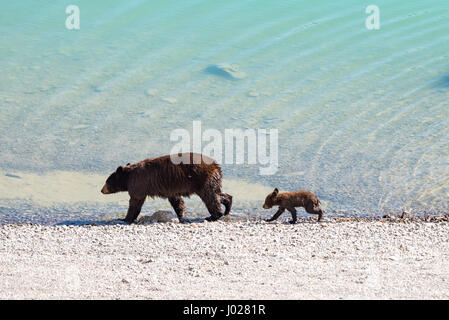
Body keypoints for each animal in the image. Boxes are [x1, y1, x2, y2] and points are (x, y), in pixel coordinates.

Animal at [100, 152, 233, 222]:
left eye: (107, 181)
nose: (101, 190)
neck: (128, 177)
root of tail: (217, 165)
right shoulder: (171, 188)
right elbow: (176, 201)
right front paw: (181, 215)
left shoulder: (139, 184)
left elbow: (135, 202)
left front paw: (125, 218)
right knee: (217, 193)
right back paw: (227, 206)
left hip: (202, 179)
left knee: (210, 197)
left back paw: (213, 216)